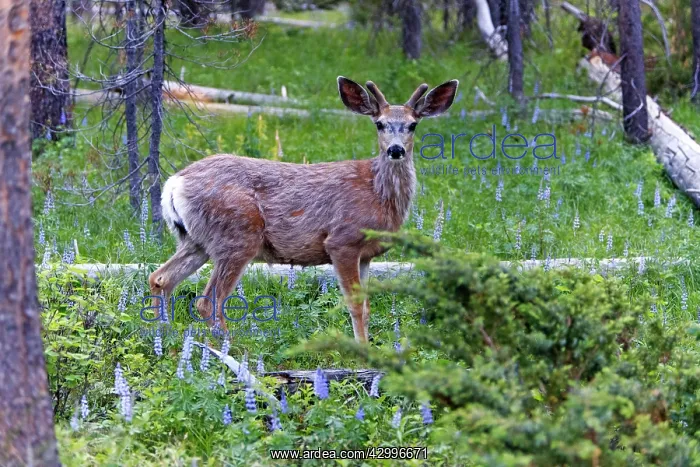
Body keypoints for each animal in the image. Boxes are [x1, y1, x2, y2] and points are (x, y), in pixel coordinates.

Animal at [148, 76, 459, 343]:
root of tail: (174, 183)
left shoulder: (366, 255)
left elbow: (367, 307)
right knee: (207, 301)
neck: (378, 194)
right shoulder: (342, 241)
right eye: (380, 124)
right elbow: (355, 306)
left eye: (413, 124)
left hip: (196, 240)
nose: (395, 150)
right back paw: (229, 345)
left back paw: (164, 334)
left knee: (160, 278)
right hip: (237, 236)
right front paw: (362, 353)